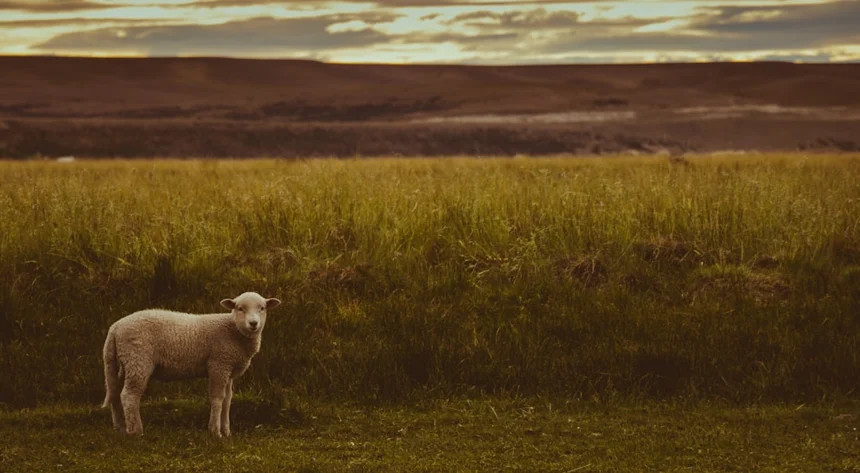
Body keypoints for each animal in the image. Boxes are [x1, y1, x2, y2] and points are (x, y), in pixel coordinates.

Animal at [102, 292, 281, 437]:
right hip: (138, 359)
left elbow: (227, 400)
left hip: (121, 363)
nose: (253, 323)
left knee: (115, 394)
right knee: (129, 396)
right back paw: (136, 431)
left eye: (262, 308)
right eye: (240, 308)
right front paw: (215, 432)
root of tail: (115, 328)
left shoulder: (228, 370)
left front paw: (226, 431)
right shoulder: (219, 364)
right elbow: (218, 398)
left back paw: (121, 429)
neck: (233, 330)